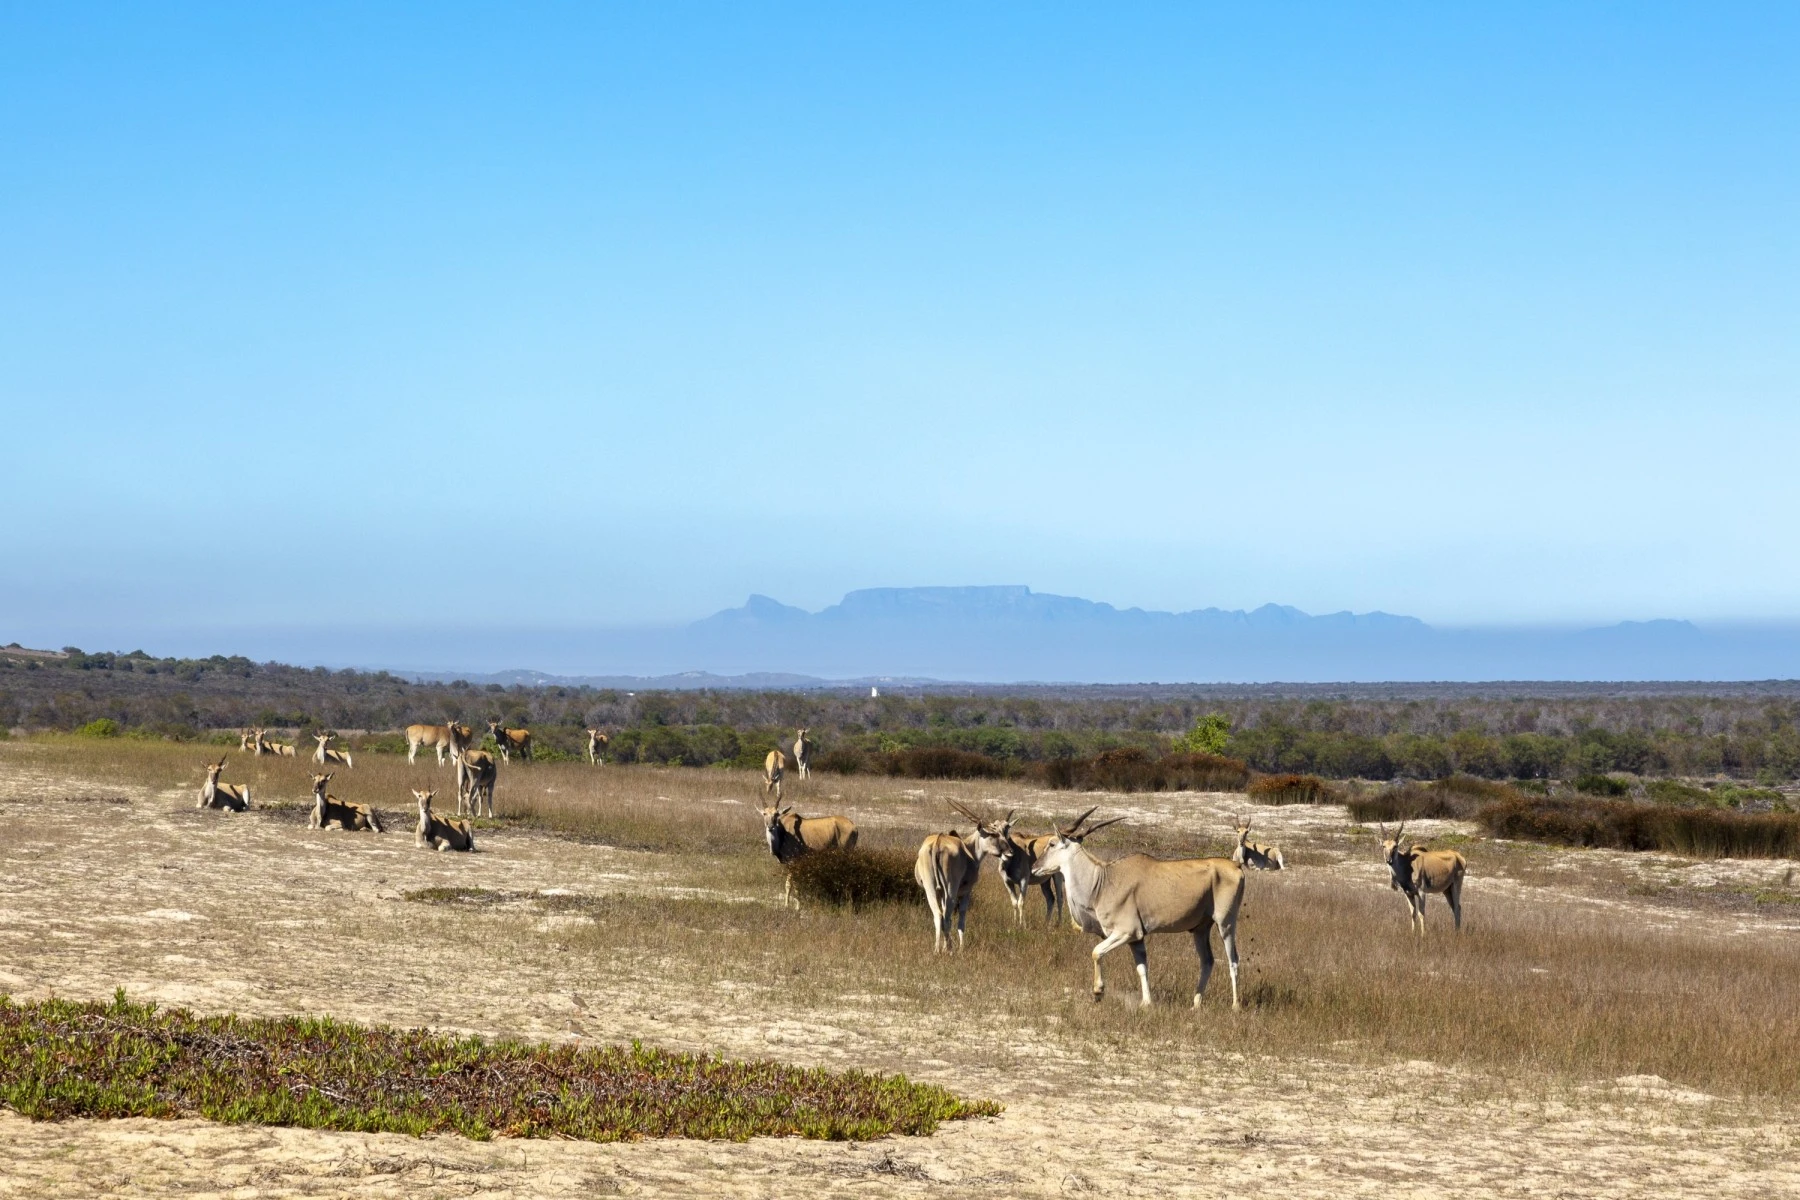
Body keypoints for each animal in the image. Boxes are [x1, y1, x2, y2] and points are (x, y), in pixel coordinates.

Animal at [1036, 813, 1245, 1007]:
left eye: (1052, 844)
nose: (1034, 867)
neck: (1103, 882)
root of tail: (1236, 866)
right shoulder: (1136, 939)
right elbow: (1142, 968)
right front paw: (1146, 1002)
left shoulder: (1126, 932)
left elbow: (1096, 952)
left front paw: (1098, 991)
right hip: (1200, 929)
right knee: (1207, 961)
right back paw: (1196, 1004)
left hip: (1225, 924)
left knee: (1233, 960)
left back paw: (1235, 1005)